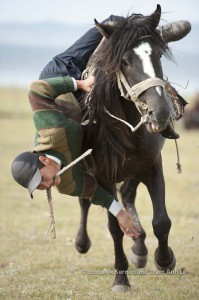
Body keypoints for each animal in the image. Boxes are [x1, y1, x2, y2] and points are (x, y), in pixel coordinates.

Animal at [74, 4, 186, 290]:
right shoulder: (103, 175)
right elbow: (115, 226)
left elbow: (161, 221)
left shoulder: (152, 165)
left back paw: (140, 248)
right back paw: (82, 243)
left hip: (135, 169)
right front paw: (120, 278)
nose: (160, 113)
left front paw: (164, 259)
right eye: (124, 62)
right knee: (85, 202)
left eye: (158, 54)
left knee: (128, 194)